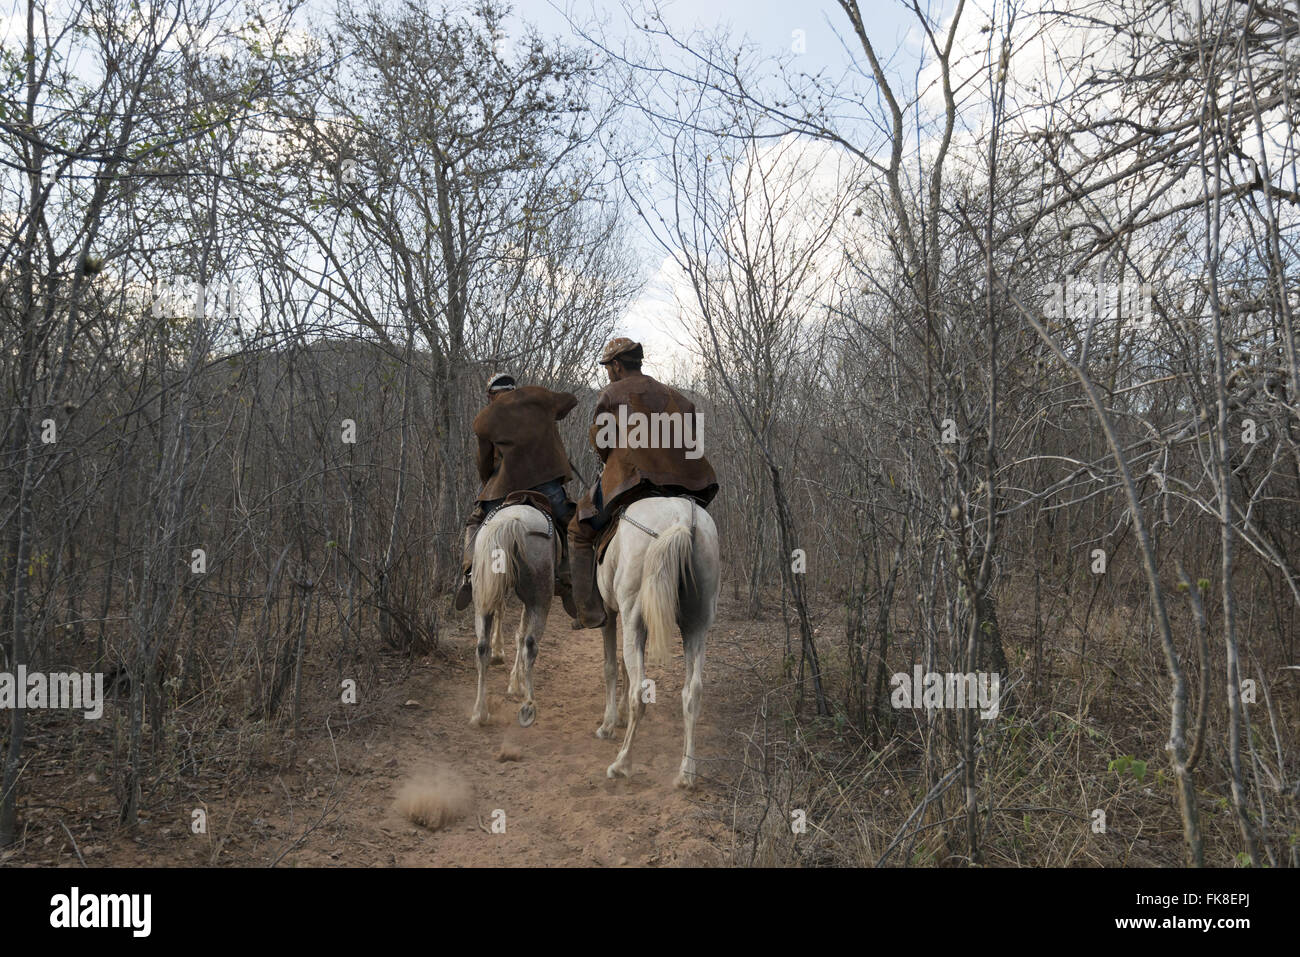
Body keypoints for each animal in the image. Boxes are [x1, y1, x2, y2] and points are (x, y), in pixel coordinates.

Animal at [467, 509, 553, 722]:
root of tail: (513, 521)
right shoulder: (530, 601)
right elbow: (521, 636)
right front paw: (517, 684)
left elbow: (517, 633)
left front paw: (514, 681)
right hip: (541, 600)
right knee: (530, 644)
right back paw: (529, 704)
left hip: (482, 599)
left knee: (482, 647)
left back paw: (480, 712)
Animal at [595, 494, 722, 785]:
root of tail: (682, 520)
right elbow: (623, 666)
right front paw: (618, 717)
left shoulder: (611, 613)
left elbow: (611, 667)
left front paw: (609, 724)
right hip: (696, 626)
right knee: (692, 693)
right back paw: (687, 772)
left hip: (633, 617)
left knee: (640, 692)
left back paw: (622, 763)